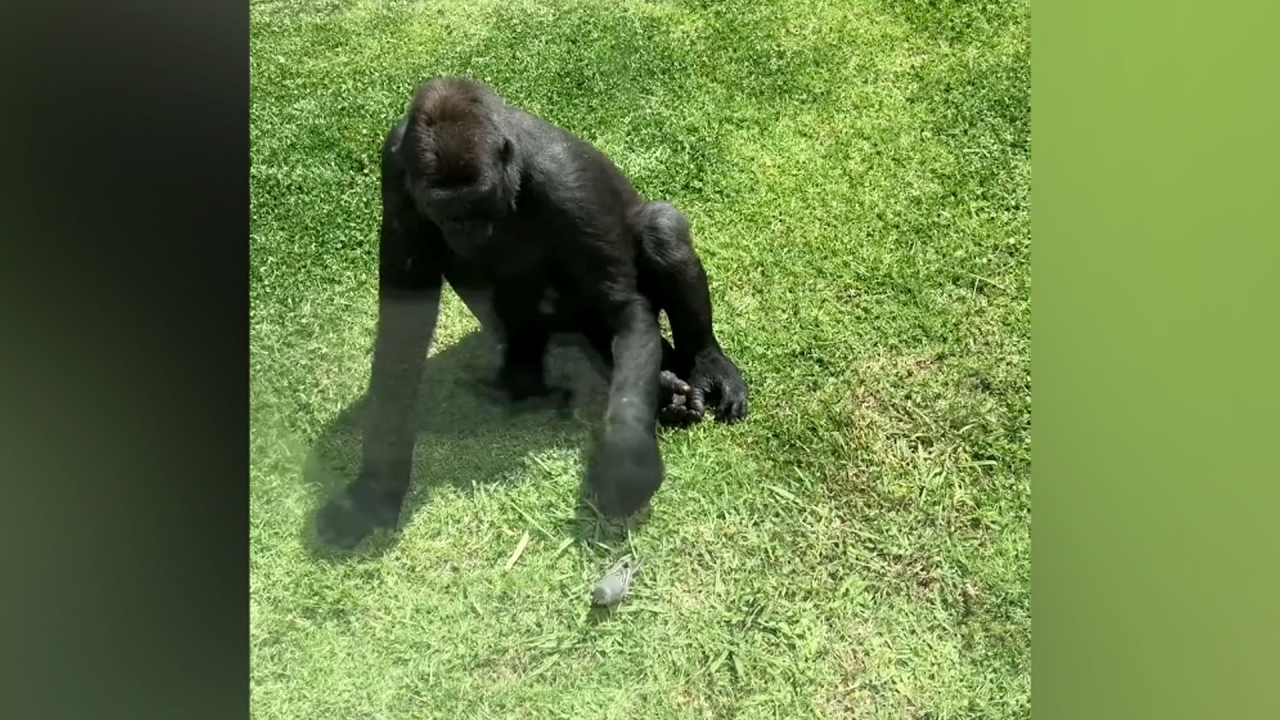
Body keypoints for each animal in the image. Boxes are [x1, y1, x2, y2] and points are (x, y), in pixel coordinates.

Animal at [318, 78, 747, 545]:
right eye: (444, 208)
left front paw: (628, 461)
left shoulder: (567, 183)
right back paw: (530, 374)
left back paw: (705, 364)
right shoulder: (396, 171)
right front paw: (374, 489)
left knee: (661, 229)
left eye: (477, 201)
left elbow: (625, 310)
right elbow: (402, 329)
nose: (463, 229)